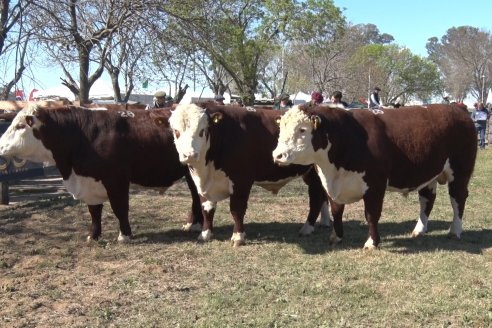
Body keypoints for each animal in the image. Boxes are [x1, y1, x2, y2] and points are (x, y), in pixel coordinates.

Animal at [0, 104, 202, 241]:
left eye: (20, 126)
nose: (0, 146)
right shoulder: (90, 180)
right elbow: (94, 211)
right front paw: (93, 235)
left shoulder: (117, 179)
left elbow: (120, 208)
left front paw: (124, 235)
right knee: (195, 196)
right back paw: (192, 224)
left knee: (196, 195)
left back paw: (195, 225)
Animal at [169, 102, 330, 246]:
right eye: (176, 131)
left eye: (202, 131)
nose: (189, 155)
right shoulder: (200, 183)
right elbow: (207, 209)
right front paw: (205, 234)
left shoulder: (241, 181)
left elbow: (237, 209)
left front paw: (238, 237)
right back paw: (324, 222)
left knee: (316, 198)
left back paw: (307, 227)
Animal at [272, 104, 476, 249]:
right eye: (282, 129)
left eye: (302, 130)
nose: (277, 155)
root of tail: (457, 108)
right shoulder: (331, 185)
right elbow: (336, 211)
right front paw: (336, 237)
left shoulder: (375, 185)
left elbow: (371, 214)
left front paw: (372, 242)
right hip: (429, 174)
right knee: (427, 200)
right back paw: (419, 230)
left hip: (460, 172)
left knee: (458, 199)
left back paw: (455, 230)